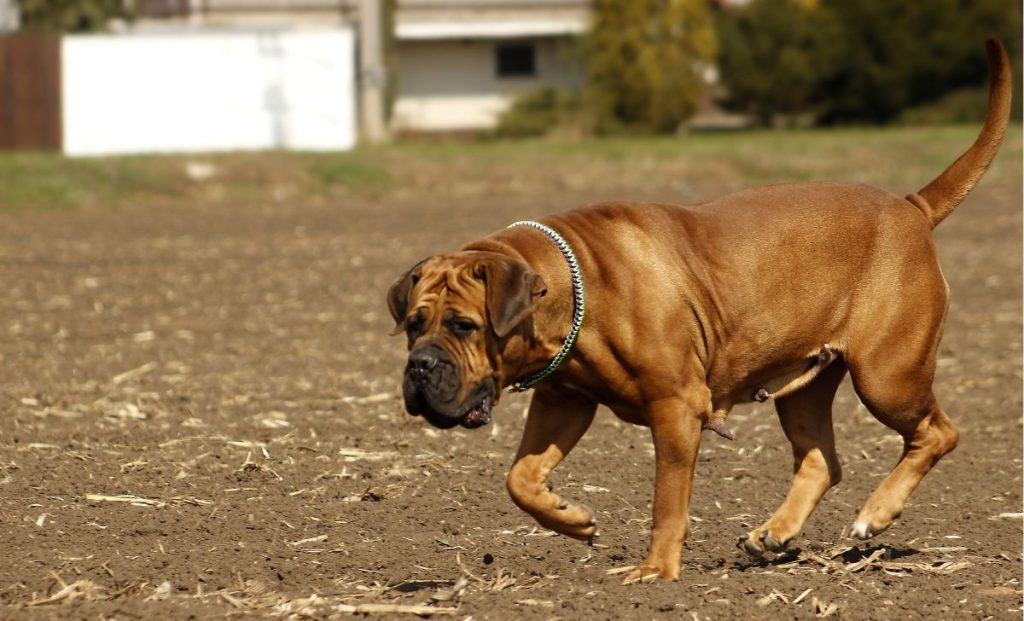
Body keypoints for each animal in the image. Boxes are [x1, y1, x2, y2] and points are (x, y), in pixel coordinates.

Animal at [387, 41, 1011, 586]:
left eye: (464, 326)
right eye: (414, 324)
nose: (419, 367)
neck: (571, 289)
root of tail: (911, 208)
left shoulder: (676, 408)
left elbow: (667, 501)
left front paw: (655, 572)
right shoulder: (565, 400)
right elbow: (520, 477)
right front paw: (572, 518)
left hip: (887, 375)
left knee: (938, 433)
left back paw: (875, 514)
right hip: (805, 388)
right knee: (821, 461)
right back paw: (772, 533)